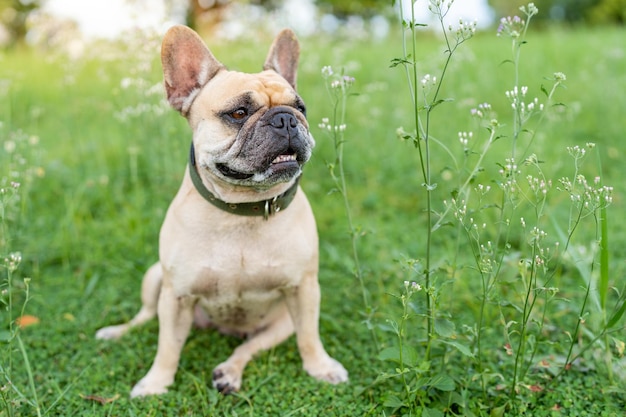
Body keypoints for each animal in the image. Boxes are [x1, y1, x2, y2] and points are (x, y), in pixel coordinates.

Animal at [94, 24, 346, 394]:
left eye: (301, 107)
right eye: (238, 113)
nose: (286, 119)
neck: (242, 209)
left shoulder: (304, 291)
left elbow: (310, 337)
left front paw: (321, 367)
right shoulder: (176, 296)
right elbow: (167, 346)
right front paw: (156, 383)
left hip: (280, 324)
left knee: (248, 347)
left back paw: (229, 372)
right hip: (155, 277)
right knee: (145, 316)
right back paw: (117, 331)